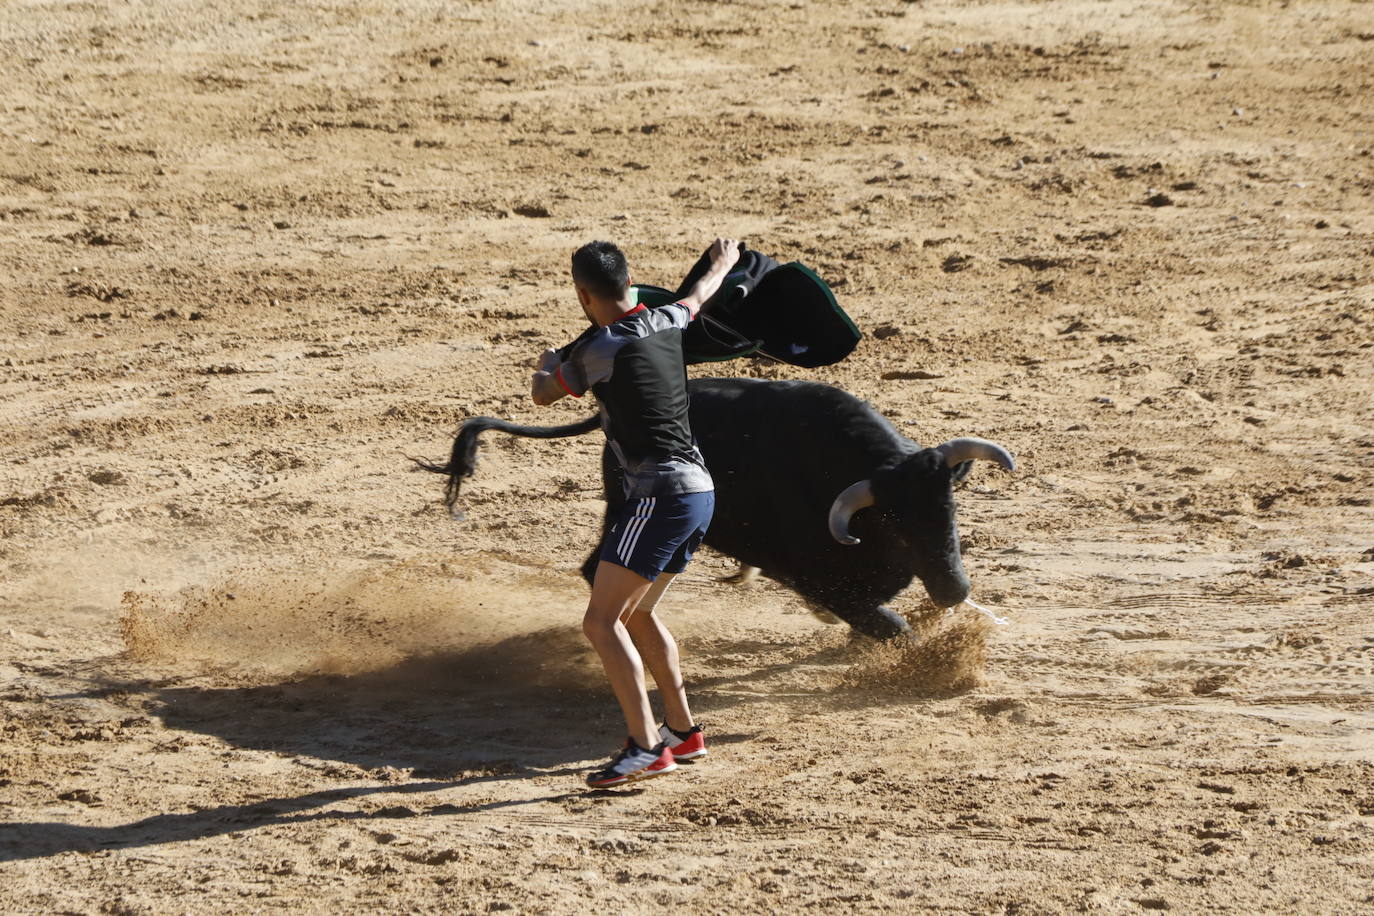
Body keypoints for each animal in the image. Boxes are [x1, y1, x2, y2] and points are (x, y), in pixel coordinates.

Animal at [423, 376, 1016, 642]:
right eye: (896, 523)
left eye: (950, 509)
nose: (954, 591)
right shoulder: (821, 579)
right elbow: (888, 624)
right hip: (627, 515)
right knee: (598, 570)